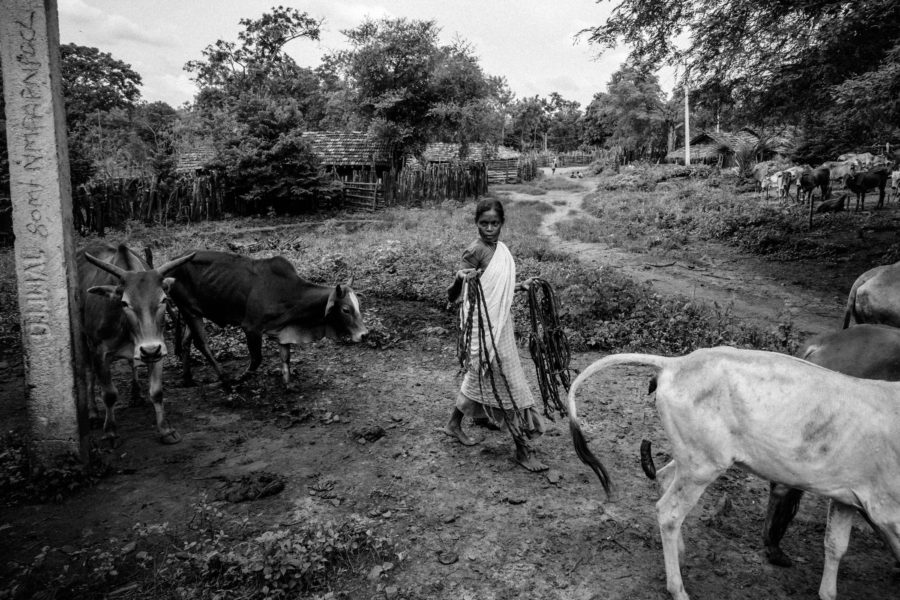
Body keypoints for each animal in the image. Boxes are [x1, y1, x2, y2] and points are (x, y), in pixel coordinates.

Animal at [79, 244, 195, 446]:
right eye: (125, 303)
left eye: (164, 299)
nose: (149, 349)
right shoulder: (100, 352)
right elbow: (109, 394)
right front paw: (110, 432)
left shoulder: (158, 349)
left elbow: (156, 392)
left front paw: (166, 430)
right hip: (83, 338)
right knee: (89, 373)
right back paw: (93, 414)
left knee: (132, 363)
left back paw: (136, 394)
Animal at [167, 252, 368, 384]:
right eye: (346, 309)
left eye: (358, 305)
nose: (364, 334)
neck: (288, 293)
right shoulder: (251, 328)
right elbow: (257, 359)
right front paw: (241, 377)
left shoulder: (284, 330)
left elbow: (285, 359)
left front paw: (288, 385)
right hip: (189, 310)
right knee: (201, 343)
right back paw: (224, 378)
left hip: (193, 312)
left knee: (186, 341)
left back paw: (187, 378)